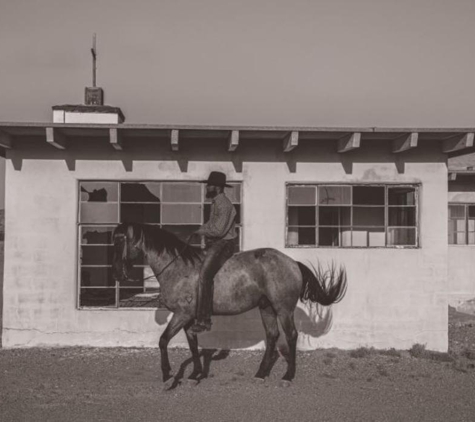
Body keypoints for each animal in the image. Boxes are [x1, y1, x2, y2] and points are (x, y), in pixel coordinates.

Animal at [113, 223, 348, 388]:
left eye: (120, 240)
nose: (118, 273)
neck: (177, 268)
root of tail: (292, 263)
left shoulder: (182, 314)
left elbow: (163, 341)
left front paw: (167, 377)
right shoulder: (188, 317)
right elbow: (192, 344)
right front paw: (195, 375)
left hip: (283, 309)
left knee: (290, 336)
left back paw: (287, 376)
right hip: (266, 307)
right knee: (272, 335)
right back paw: (260, 374)